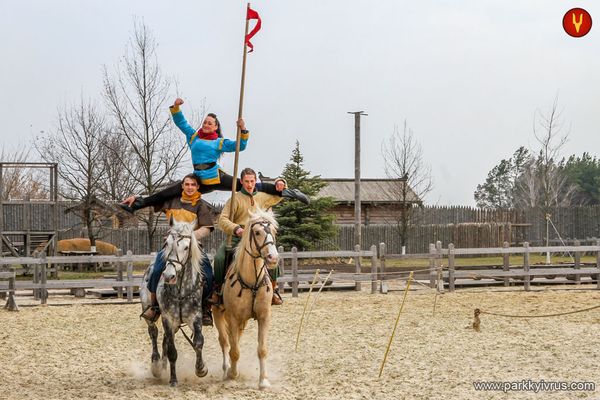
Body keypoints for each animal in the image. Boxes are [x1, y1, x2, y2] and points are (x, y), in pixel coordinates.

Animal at [140, 219, 210, 388]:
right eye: (167, 243)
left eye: (186, 247)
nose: (169, 276)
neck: (180, 291)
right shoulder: (168, 318)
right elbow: (172, 350)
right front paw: (173, 380)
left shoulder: (195, 317)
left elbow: (198, 342)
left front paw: (201, 368)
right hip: (150, 312)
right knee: (154, 332)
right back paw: (156, 365)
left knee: (165, 339)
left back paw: (163, 365)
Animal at [213, 208, 282, 390]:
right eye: (257, 232)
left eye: (274, 231)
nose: (273, 258)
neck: (252, 282)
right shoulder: (233, 318)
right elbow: (234, 350)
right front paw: (232, 375)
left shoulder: (264, 317)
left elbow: (262, 349)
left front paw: (263, 381)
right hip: (218, 314)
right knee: (225, 342)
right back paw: (226, 370)